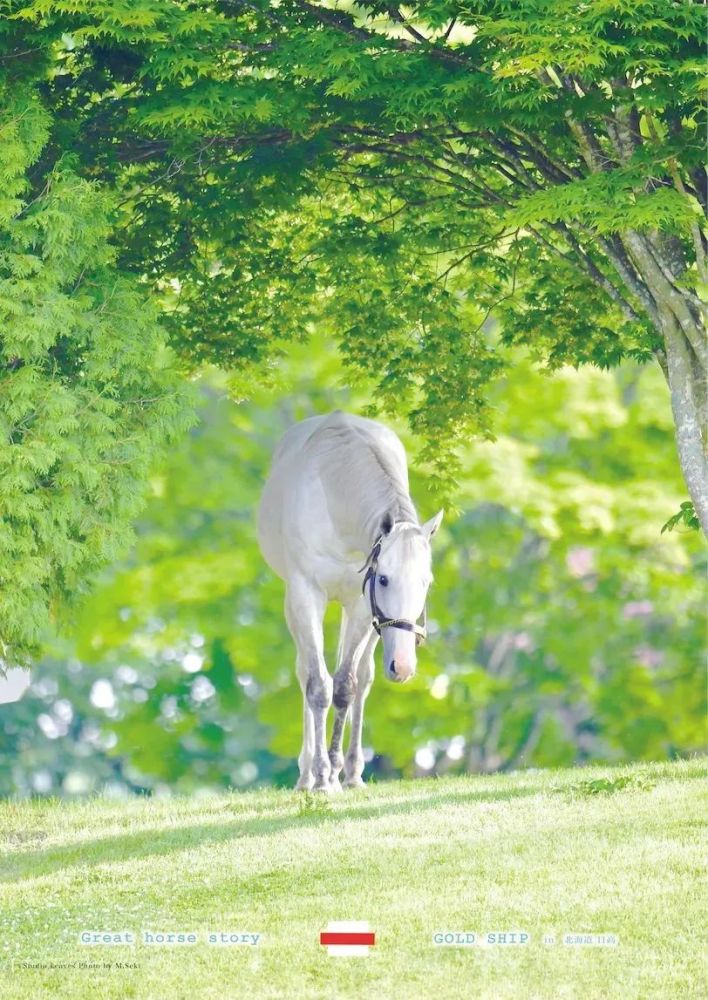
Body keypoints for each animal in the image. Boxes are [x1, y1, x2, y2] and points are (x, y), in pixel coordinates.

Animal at [254, 410, 442, 792]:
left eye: (425, 583)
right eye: (384, 579)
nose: (403, 666)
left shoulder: (360, 605)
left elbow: (346, 686)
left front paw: (335, 772)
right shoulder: (305, 594)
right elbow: (317, 686)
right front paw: (321, 778)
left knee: (363, 676)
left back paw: (353, 773)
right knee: (304, 672)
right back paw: (306, 774)